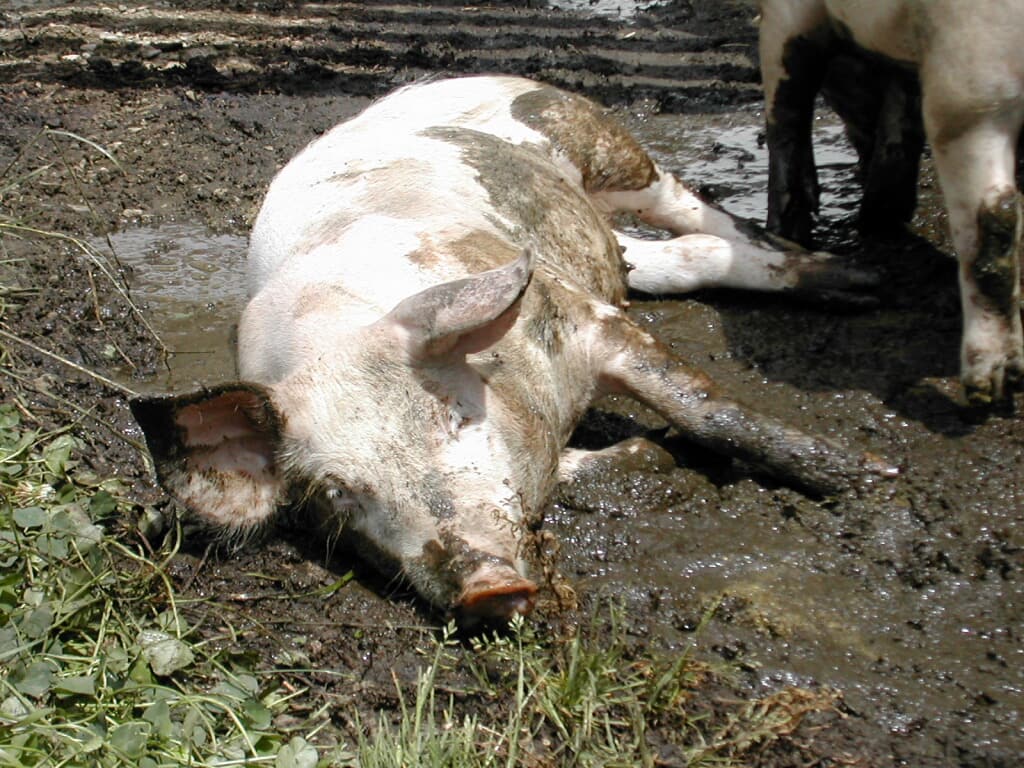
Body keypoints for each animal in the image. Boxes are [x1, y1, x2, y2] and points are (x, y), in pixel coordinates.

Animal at [131, 76, 895, 622]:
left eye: (455, 415)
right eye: (338, 492)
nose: (487, 583)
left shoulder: (581, 319)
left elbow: (708, 409)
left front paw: (872, 481)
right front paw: (654, 458)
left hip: (601, 142)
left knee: (703, 217)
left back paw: (864, 282)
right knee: (678, 257)